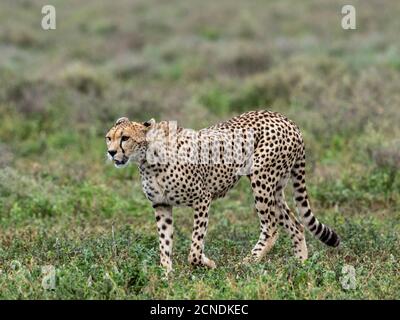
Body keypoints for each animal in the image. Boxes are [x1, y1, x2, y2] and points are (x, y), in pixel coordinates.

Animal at [104, 111, 340, 274]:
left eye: (125, 138)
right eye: (108, 137)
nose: (111, 152)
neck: (148, 160)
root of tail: (286, 120)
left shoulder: (202, 199)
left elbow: (195, 248)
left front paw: (206, 263)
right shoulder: (162, 205)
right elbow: (165, 243)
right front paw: (166, 275)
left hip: (261, 178)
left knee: (271, 227)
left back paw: (247, 263)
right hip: (275, 188)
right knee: (296, 224)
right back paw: (302, 265)